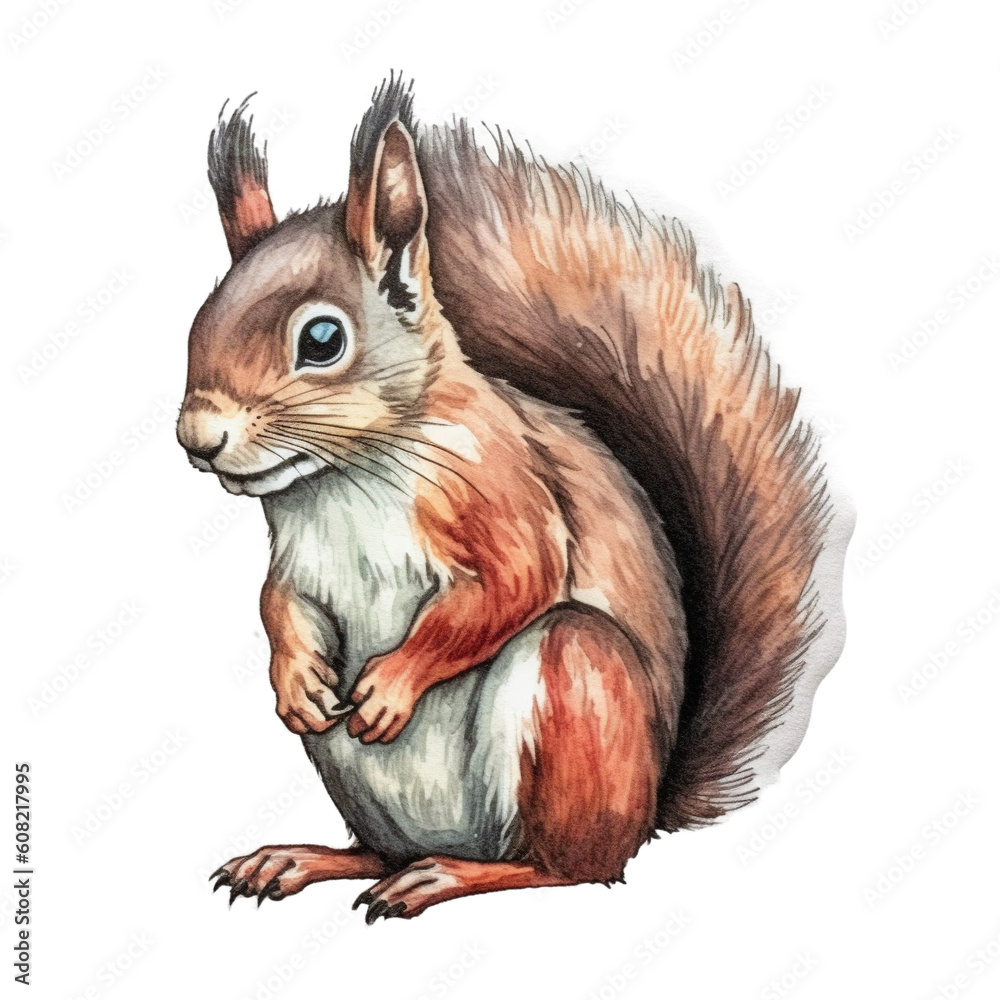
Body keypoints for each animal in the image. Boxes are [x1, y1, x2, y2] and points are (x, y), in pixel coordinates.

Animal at [177, 75, 836, 923]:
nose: (197, 437)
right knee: (378, 851)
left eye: (321, 340)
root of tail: (645, 814)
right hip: (351, 774)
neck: (341, 477)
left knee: (568, 867)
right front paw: (293, 678)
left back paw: (449, 876)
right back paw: (303, 858)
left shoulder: (502, 492)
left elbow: (514, 582)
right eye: (199, 318)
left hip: (575, 679)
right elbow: (278, 602)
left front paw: (392, 685)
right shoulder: (298, 558)